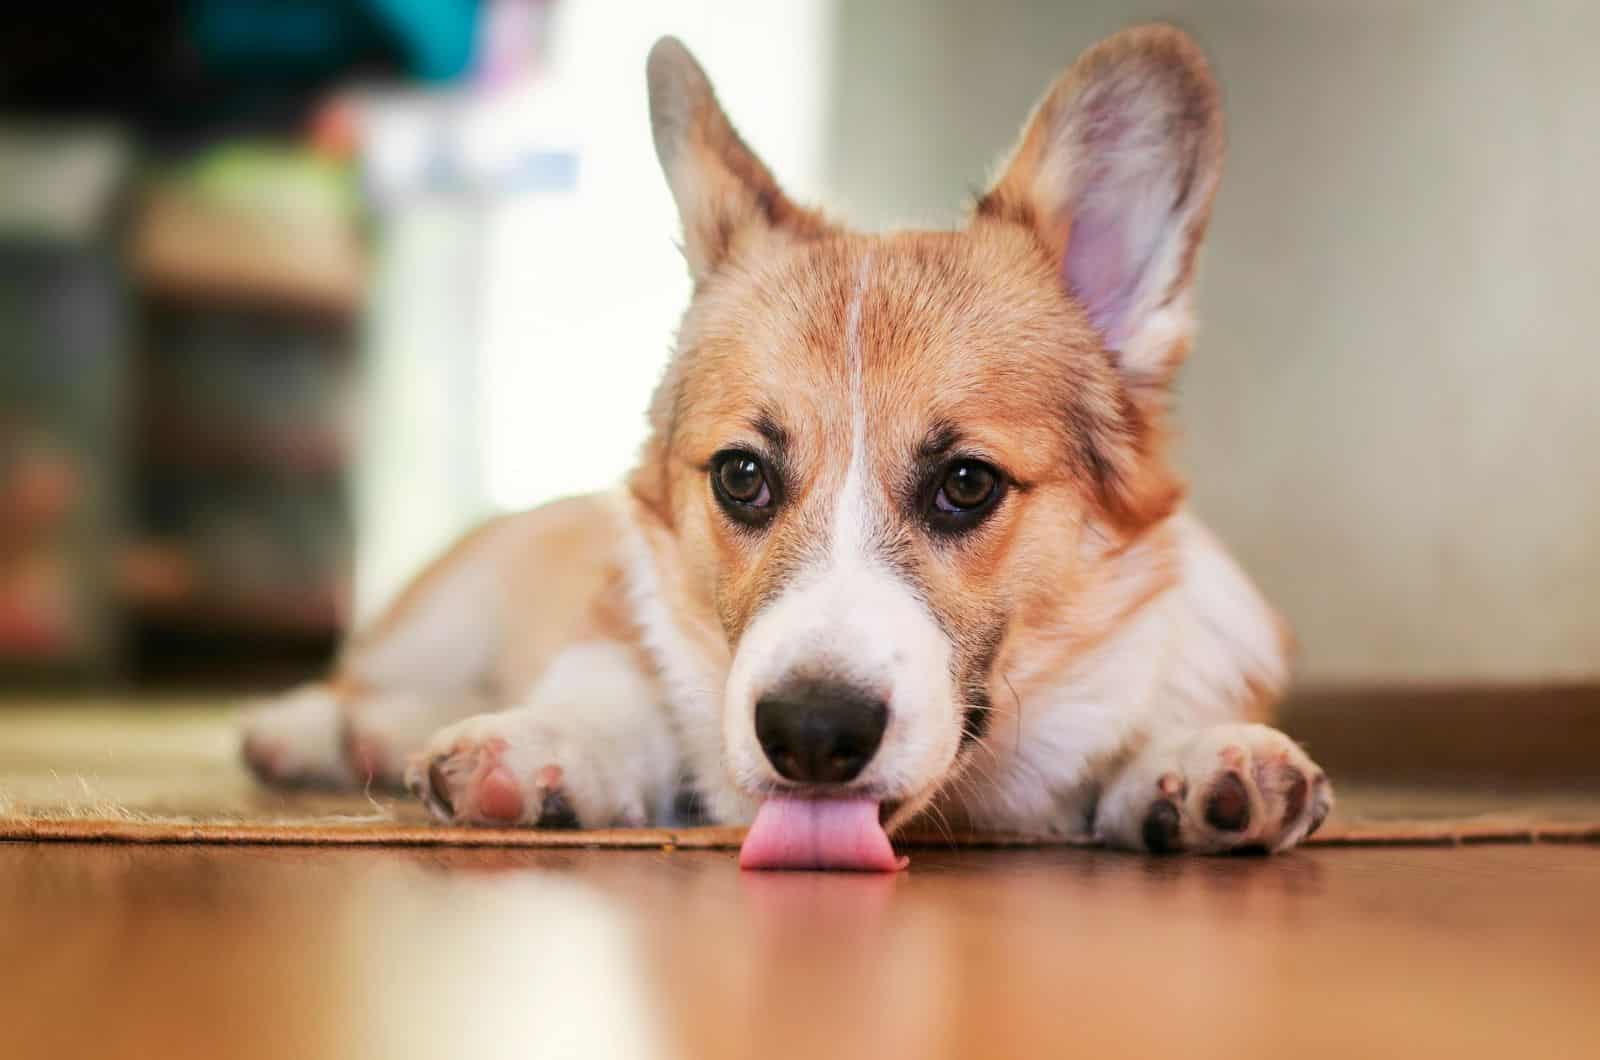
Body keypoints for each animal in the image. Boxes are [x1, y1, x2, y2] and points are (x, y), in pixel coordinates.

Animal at [243, 27, 1331, 871]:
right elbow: (613, 691)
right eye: (742, 476)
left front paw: (1199, 758)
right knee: (364, 678)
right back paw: (309, 730)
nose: (812, 735)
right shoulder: (619, 626)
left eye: (966, 483)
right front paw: (547, 745)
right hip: (447, 614)